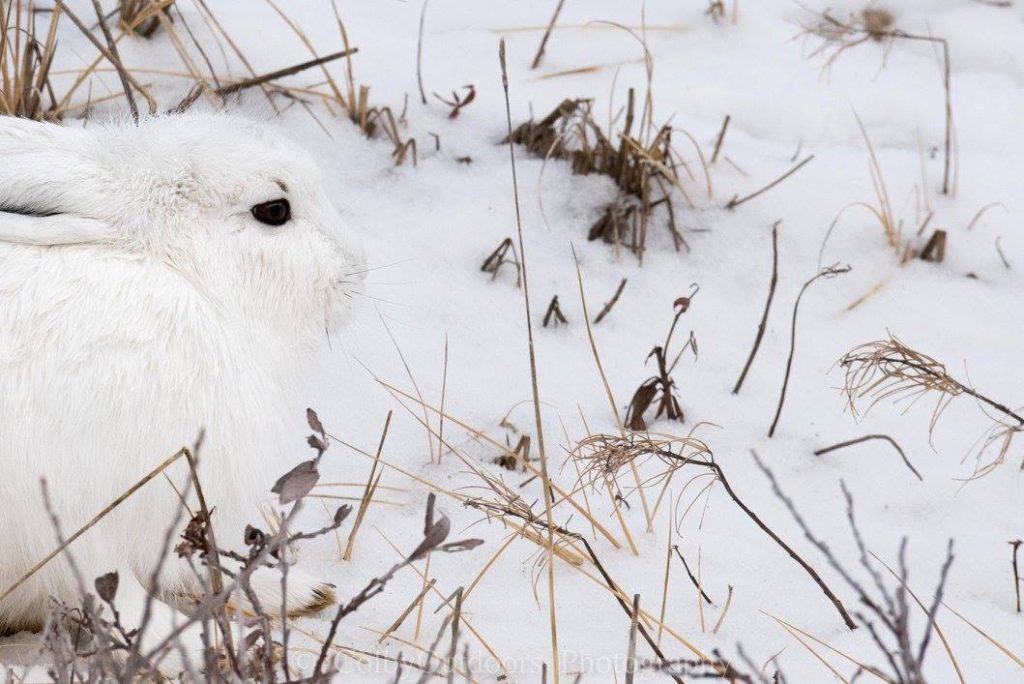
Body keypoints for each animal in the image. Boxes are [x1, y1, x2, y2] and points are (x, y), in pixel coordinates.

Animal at [0, 112, 366, 674]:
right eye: (274, 210)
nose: (357, 271)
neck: (183, 276)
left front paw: (298, 592)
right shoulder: (63, 507)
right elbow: (113, 590)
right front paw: (200, 649)